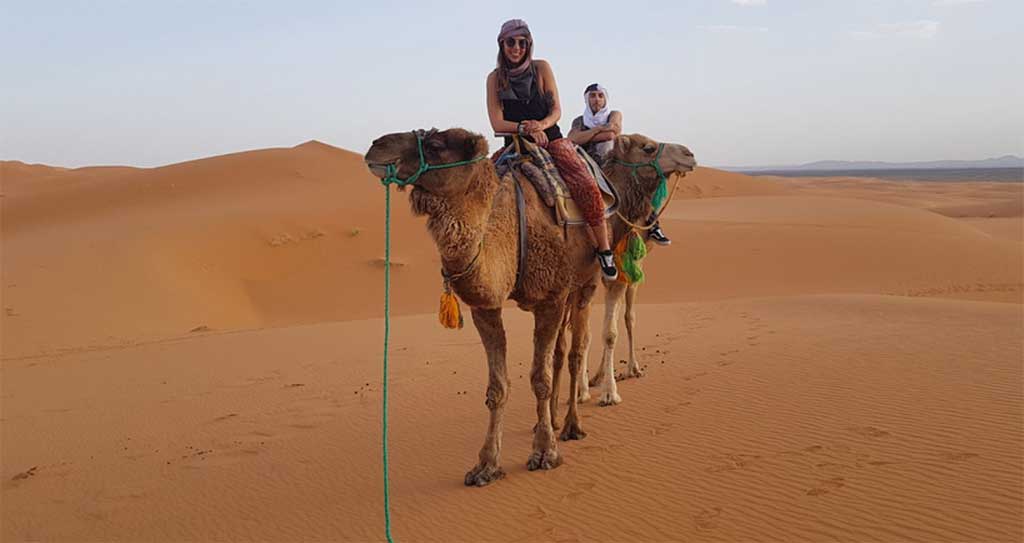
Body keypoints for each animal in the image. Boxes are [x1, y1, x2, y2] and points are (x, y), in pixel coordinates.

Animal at [364, 129, 694, 486]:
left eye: (437, 145)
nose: (376, 146)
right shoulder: (487, 307)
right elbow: (498, 386)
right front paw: (486, 464)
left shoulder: (551, 297)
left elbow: (542, 376)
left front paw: (545, 451)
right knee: (567, 349)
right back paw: (554, 416)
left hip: (587, 281)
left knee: (579, 348)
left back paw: (573, 423)